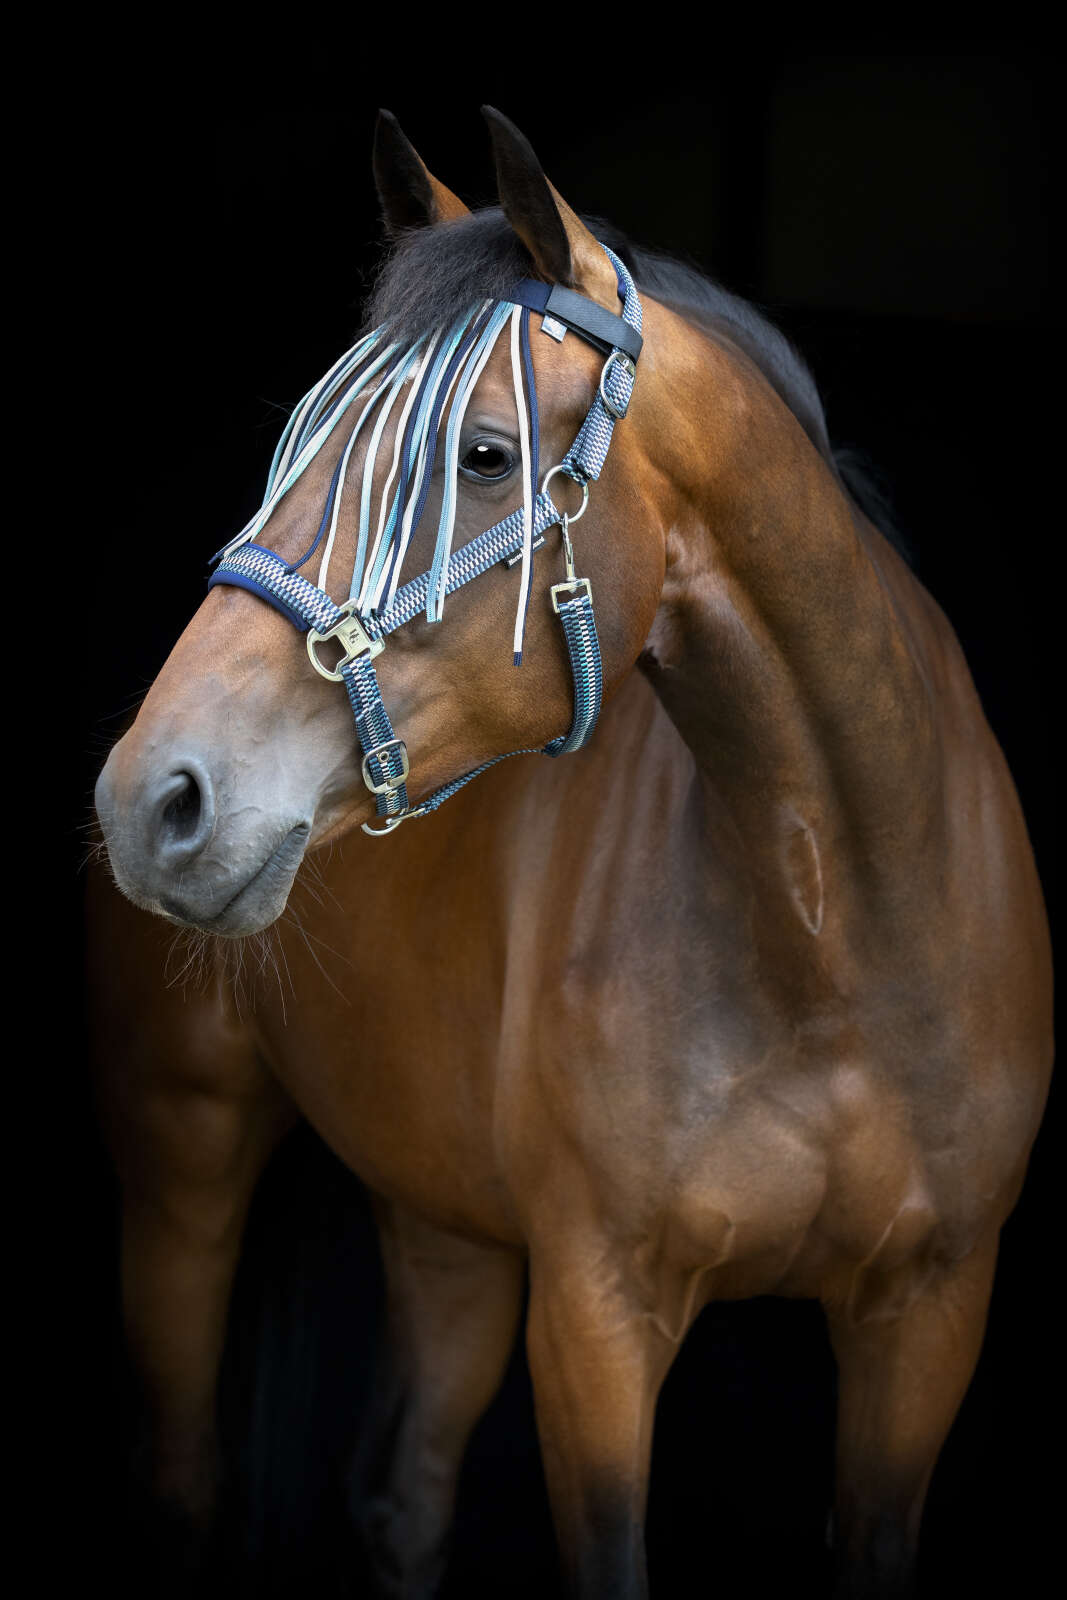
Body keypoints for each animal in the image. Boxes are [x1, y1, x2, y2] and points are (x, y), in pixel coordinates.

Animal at [89, 107, 1054, 1598]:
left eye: (483, 455)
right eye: (299, 442)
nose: (156, 795)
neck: (836, 938)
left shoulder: (927, 1318)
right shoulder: (597, 1317)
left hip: (443, 1216)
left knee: (405, 1493)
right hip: (185, 1140)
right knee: (187, 1473)